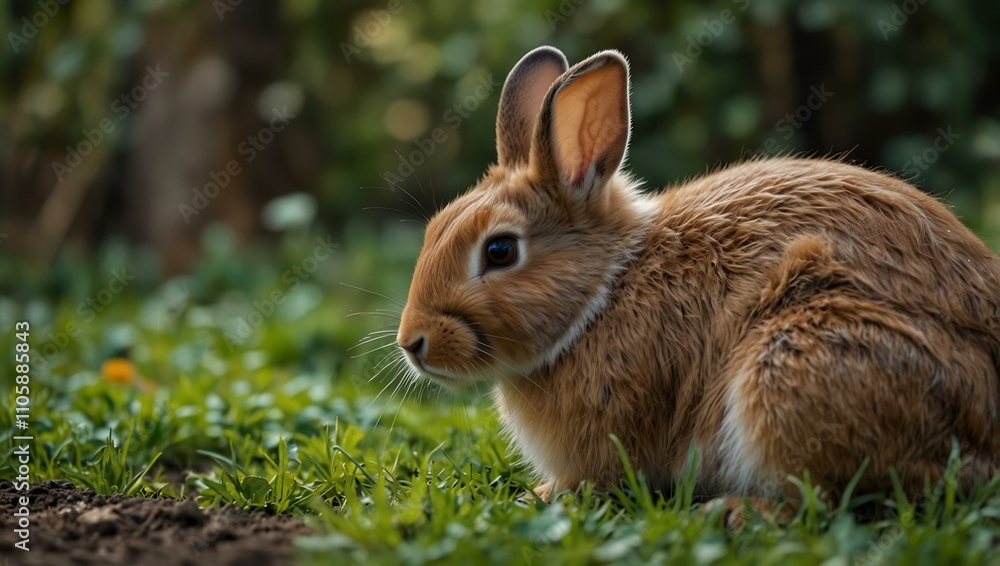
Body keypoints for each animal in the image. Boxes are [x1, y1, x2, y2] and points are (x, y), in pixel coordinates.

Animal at [395, 45, 1000, 521]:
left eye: (500, 251)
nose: (411, 343)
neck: (603, 293)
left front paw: (542, 497)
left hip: (800, 364)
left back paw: (734, 512)